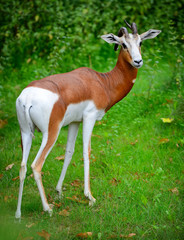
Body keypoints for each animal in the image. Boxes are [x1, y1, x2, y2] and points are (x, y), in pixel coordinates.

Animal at [14, 20, 161, 218]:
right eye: (123, 44)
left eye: (141, 42)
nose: (138, 61)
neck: (103, 82)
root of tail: (28, 98)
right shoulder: (89, 118)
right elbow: (86, 152)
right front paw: (89, 197)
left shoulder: (75, 122)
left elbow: (69, 152)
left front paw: (59, 192)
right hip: (50, 133)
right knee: (36, 166)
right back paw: (48, 208)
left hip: (26, 133)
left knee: (22, 166)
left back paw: (18, 214)